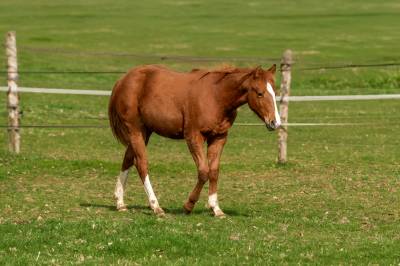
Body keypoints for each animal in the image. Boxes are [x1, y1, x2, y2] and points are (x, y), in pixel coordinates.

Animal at [108, 64, 280, 216]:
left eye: (275, 92)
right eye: (259, 93)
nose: (275, 123)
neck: (216, 96)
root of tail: (123, 80)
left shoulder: (219, 137)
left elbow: (214, 171)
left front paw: (216, 209)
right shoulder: (193, 137)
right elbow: (204, 171)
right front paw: (188, 205)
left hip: (145, 132)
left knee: (128, 159)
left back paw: (120, 203)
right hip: (135, 130)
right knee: (141, 164)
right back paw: (156, 207)